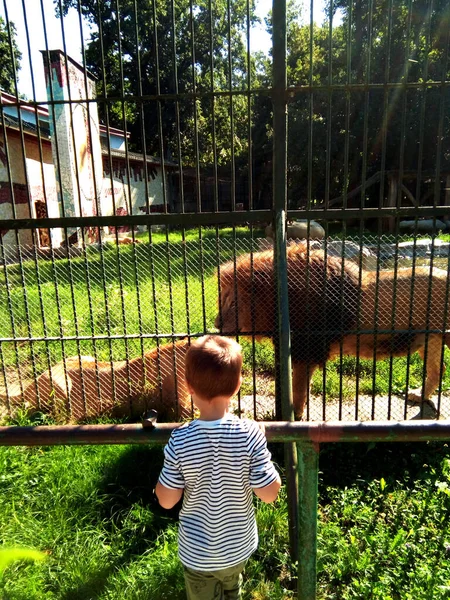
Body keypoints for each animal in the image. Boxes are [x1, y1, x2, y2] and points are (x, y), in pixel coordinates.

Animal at [215, 243, 450, 418]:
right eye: (222, 300)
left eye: (233, 303)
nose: (216, 324)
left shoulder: (306, 352)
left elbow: (298, 390)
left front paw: (293, 417)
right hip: (429, 339)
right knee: (438, 369)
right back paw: (419, 395)